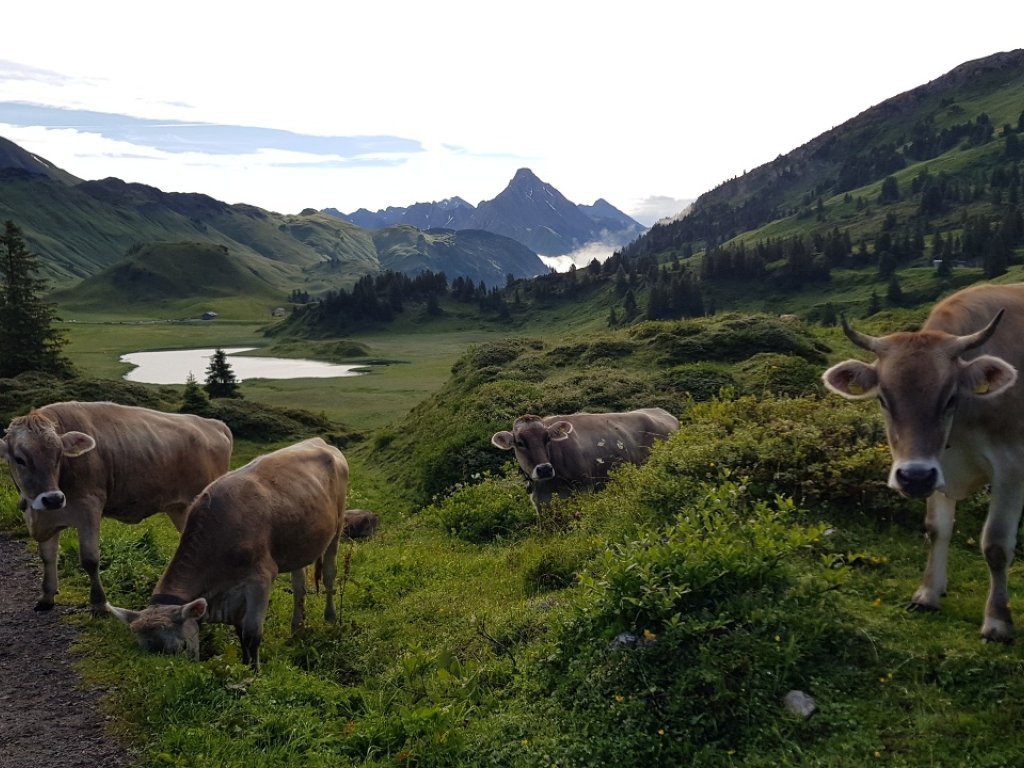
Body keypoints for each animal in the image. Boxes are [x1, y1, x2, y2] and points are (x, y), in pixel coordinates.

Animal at [0, 403, 232, 614]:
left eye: (59, 456)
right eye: (19, 459)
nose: (53, 499)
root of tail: (214, 424)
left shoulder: (89, 507)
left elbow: (90, 560)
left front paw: (99, 604)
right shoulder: (46, 518)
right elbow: (48, 556)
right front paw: (47, 597)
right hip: (181, 509)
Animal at [107, 438, 348, 671]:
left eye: (181, 647)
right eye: (144, 649)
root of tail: (321, 442)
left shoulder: (260, 580)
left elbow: (251, 634)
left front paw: (255, 672)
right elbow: (240, 632)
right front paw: (245, 665)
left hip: (336, 529)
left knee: (329, 574)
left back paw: (331, 617)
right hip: (300, 542)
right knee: (299, 586)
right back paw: (297, 627)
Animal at [489, 405, 679, 514]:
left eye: (547, 439)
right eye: (520, 443)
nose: (544, 469)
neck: (550, 485)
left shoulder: (584, 489)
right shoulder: (539, 502)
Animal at [819, 282, 1024, 643]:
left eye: (950, 397)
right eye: (883, 399)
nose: (912, 478)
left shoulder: (1010, 466)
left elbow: (996, 545)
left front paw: (997, 621)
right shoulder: (936, 467)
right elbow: (936, 529)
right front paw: (927, 594)